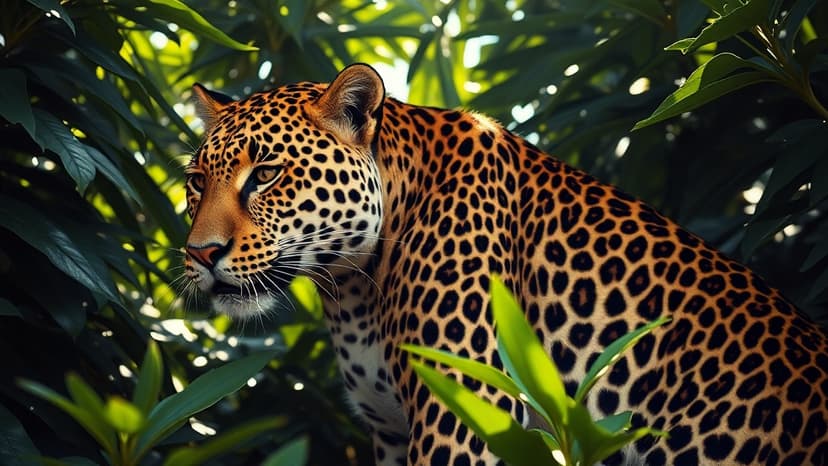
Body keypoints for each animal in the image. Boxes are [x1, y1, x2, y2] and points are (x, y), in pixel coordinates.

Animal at [183, 63, 828, 466]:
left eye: (266, 174)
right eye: (195, 183)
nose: (200, 253)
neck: (353, 286)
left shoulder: (462, 420)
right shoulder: (392, 431)